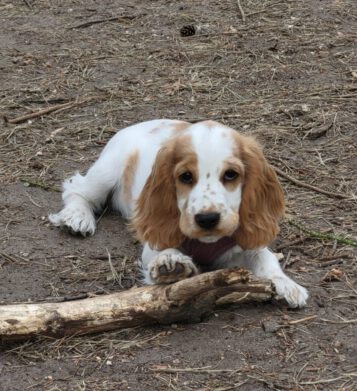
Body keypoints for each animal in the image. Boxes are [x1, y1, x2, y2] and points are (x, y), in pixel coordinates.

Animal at [48, 120, 308, 310]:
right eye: (185, 176)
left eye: (231, 174)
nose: (207, 219)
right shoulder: (155, 237)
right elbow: (162, 250)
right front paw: (171, 263)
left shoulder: (241, 244)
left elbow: (264, 258)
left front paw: (286, 284)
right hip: (106, 172)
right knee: (75, 188)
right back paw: (77, 218)